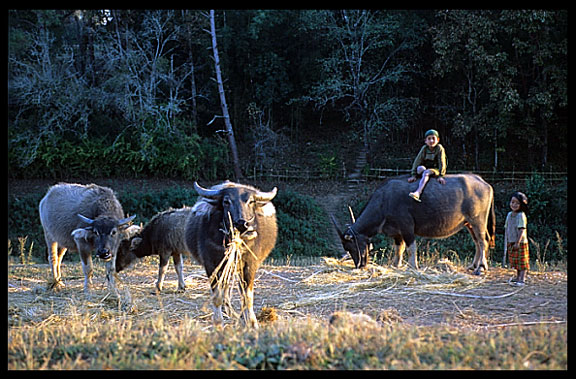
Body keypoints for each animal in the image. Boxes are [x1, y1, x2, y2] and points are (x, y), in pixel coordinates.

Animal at [183, 182, 276, 330]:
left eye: (251, 201)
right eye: (226, 201)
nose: (242, 223)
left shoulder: (250, 265)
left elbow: (247, 296)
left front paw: (252, 322)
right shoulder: (212, 265)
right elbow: (217, 296)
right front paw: (218, 322)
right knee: (225, 292)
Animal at [332, 174, 496, 274]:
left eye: (350, 246)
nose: (359, 265)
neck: (384, 201)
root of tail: (484, 183)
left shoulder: (407, 227)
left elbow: (411, 248)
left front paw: (412, 266)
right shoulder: (397, 232)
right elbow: (399, 249)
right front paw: (396, 265)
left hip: (477, 220)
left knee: (483, 241)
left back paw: (481, 268)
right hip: (469, 223)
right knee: (477, 241)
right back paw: (473, 265)